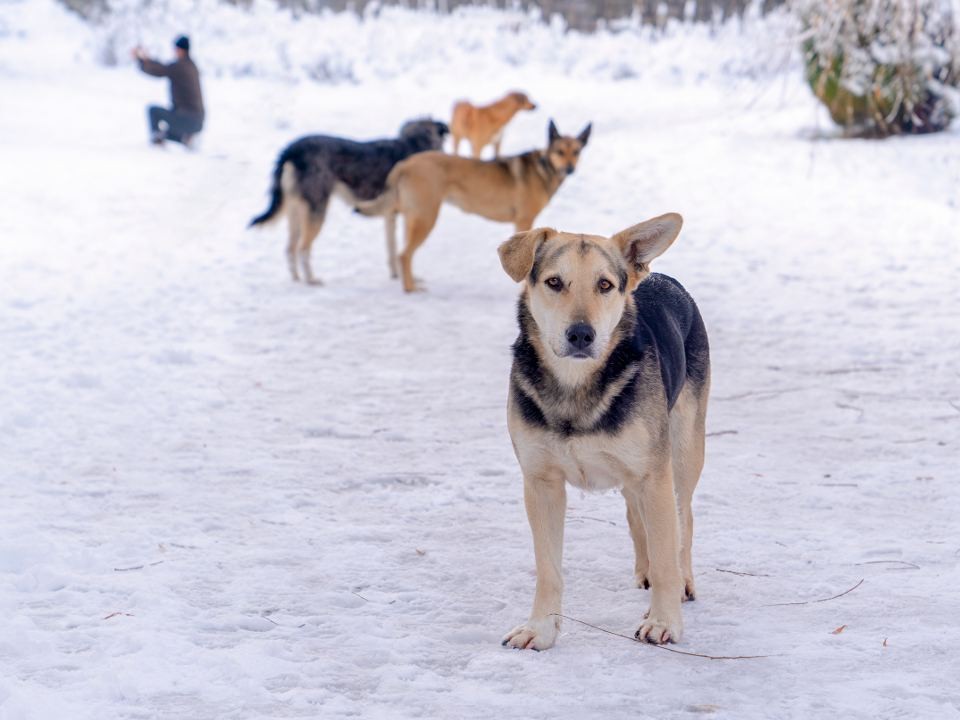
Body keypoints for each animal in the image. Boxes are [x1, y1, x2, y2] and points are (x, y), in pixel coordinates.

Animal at [249, 119, 448, 286]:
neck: (414, 144)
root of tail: (291, 150)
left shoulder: (389, 215)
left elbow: (392, 249)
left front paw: (396, 275)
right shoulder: (407, 215)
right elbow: (405, 250)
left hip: (296, 213)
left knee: (290, 249)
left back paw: (297, 280)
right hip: (316, 211)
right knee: (302, 249)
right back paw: (311, 280)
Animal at [356, 121, 588, 292]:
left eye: (576, 152)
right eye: (559, 151)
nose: (570, 169)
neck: (543, 168)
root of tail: (404, 163)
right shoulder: (524, 220)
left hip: (413, 218)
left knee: (404, 253)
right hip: (426, 218)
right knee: (404, 254)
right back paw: (410, 288)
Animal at [496, 215, 712, 652]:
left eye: (605, 285)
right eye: (554, 282)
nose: (581, 334)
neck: (576, 386)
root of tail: (659, 274)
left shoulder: (654, 474)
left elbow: (667, 554)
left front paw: (663, 620)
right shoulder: (541, 482)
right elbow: (548, 569)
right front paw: (540, 628)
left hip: (682, 453)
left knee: (684, 520)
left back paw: (682, 581)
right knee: (635, 514)